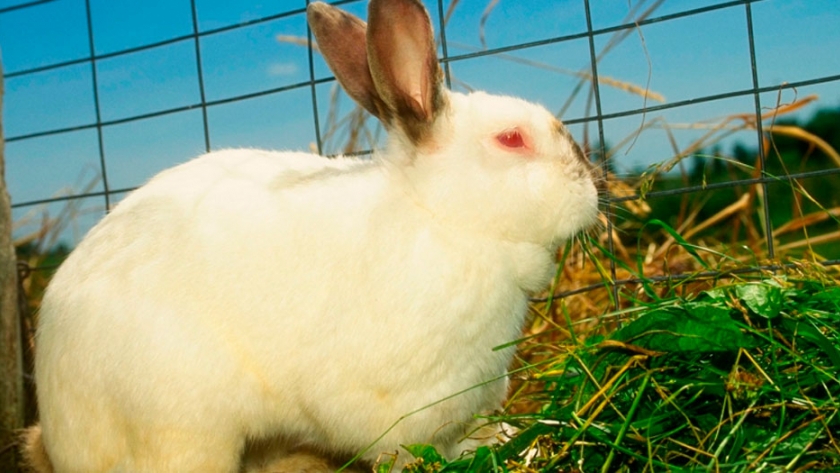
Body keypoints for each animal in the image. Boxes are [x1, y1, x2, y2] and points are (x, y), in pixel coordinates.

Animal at [21, 0, 600, 472]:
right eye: (512, 139)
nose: (593, 189)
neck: (441, 217)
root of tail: (56, 433)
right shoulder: (400, 406)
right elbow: (411, 450)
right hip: (181, 432)